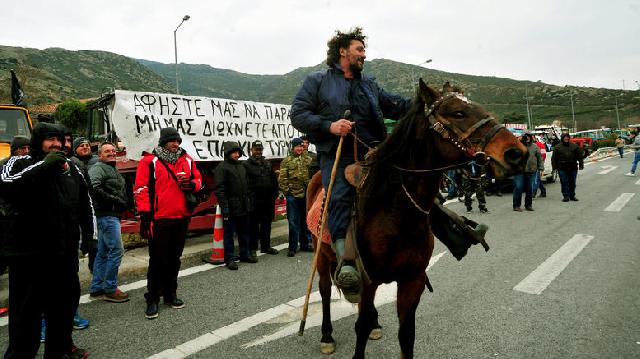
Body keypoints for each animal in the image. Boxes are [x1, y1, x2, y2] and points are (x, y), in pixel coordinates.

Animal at [308, 80, 528, 358]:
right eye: (457, 112)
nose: (517, 154)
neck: (393, 214)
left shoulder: (412, 280)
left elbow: (406, 335)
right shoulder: (368, 282)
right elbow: (361, 328)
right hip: (321, 256)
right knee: (325, 291)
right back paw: (326, 335)